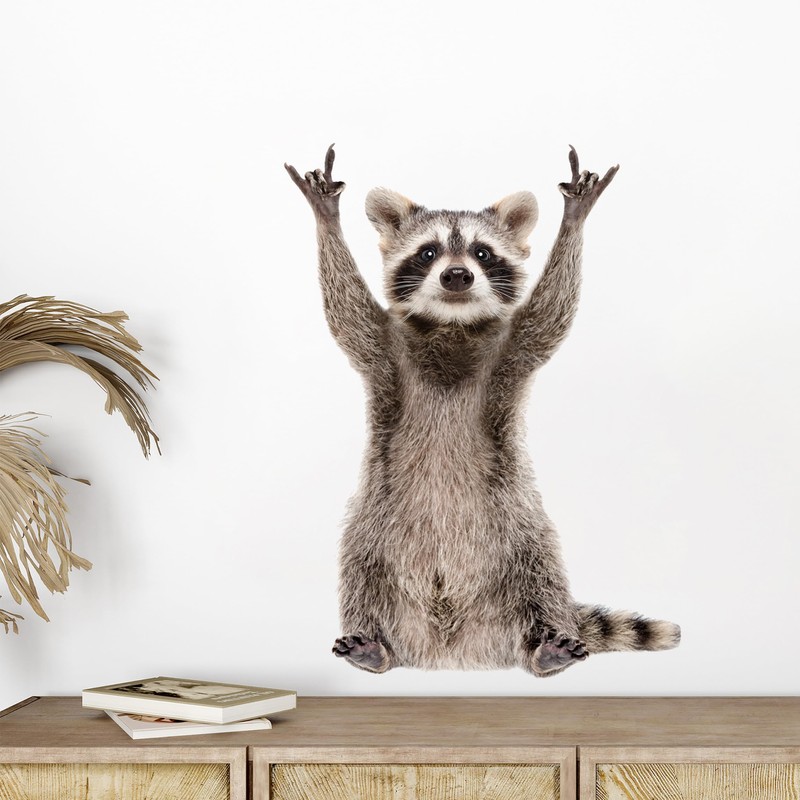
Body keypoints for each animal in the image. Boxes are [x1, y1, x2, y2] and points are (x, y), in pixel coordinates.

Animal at [285, 145, 680, 676]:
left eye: (482, 253)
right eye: (429, 252)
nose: (457, 275)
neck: (451, 326)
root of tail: (452, 651)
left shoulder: (512, 350)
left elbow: (551, 314)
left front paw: (574, 220)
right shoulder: (384, 349)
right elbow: (347, 313)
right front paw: (327, 218)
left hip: (519, 526)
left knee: (544, 571)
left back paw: (544, 647)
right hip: (374, 522)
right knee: (359, 567)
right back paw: (373, 644)